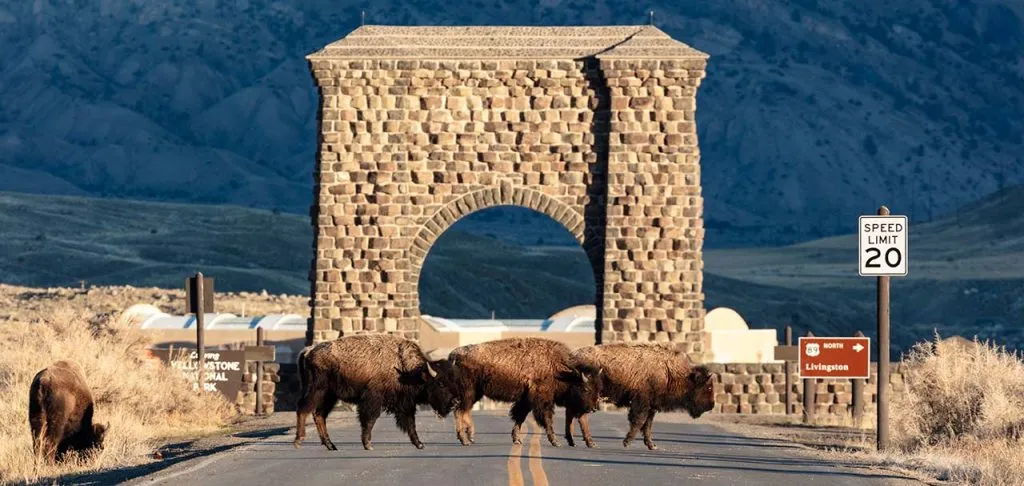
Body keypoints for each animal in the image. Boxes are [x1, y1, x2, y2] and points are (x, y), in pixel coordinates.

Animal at [294, 335, 458, 452]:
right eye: (440, 383)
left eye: (453, 381)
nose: (455, 402)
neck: (403, 367)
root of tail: (308, 351)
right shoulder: (373, 400)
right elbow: (370, 420)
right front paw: (368, 444)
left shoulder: (405, 404)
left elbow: (411, 423)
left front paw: (419, 444)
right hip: (317, 391)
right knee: (303, 410)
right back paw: (299, 441)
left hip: (329, 396)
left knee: (319, 415)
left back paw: (331, 445)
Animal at [446, 337, 598, 448]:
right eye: (586, 388)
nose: (593, 408)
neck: (559, 370)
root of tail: (454, 355)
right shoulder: (542, 400)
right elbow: (547, 419)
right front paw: (555, 441)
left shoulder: (526, 400)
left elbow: (520, 417)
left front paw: (517, 439)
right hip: (469, 393)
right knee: (460, 411)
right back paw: (465, 439)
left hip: (475, 393)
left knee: (462, 411)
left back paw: (468, 437)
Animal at [565, 343, 716, 450]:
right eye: (708, 387)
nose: (711, 405)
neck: (669, 371)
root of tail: (572, 355)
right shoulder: (641, 403)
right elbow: (639, 421)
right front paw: (627, 442)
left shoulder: (651, 407)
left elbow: (647, 425)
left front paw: (652, 445)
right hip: (587, 396)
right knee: (580, 415)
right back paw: (589, 442)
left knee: (573, 414)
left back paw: (577, 441)